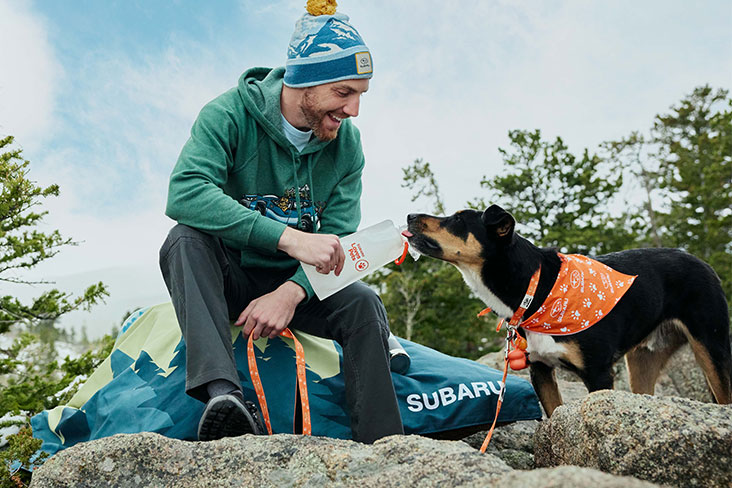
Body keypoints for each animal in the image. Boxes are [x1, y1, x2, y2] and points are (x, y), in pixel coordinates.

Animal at [406, 205, 732, 416]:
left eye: (458, 220)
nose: (409, 215)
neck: (535, 287)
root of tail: (701, 262)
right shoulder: (540, 370)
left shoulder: (598, 373)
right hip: (642, 362)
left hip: (712, 348)